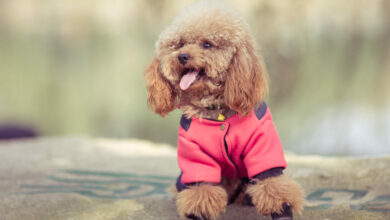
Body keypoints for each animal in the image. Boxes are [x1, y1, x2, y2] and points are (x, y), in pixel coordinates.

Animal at [145, 0, 304, 219]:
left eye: (207, 44)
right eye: (180, 44)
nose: (182, 56)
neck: (218, 112)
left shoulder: (263, 141)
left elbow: (271, 178)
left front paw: (282, 207)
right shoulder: (194, 152)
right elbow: (201, 186)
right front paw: (199, 210)